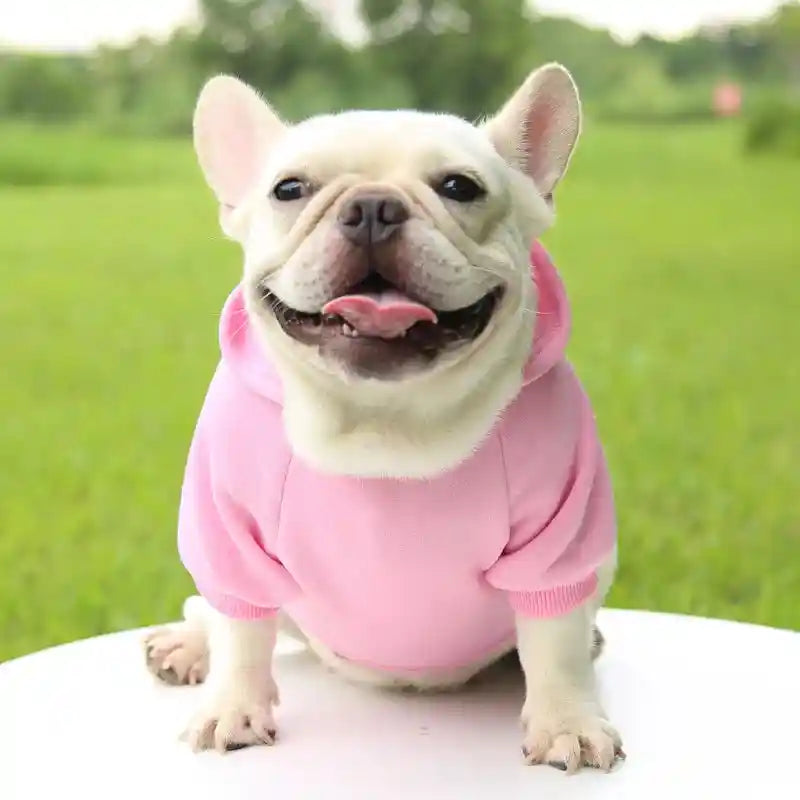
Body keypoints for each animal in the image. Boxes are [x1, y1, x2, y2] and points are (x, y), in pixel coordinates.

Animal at [145, 62, 624, 776]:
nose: (372, 207)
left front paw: (567, 720)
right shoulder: (229, 535)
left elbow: (555, 641)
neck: (381, 419)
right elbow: (241, 628)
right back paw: (186, 642)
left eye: (460, 187)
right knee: (221, 612)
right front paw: (233, 705)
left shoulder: (560, 543)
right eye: (289, 189)